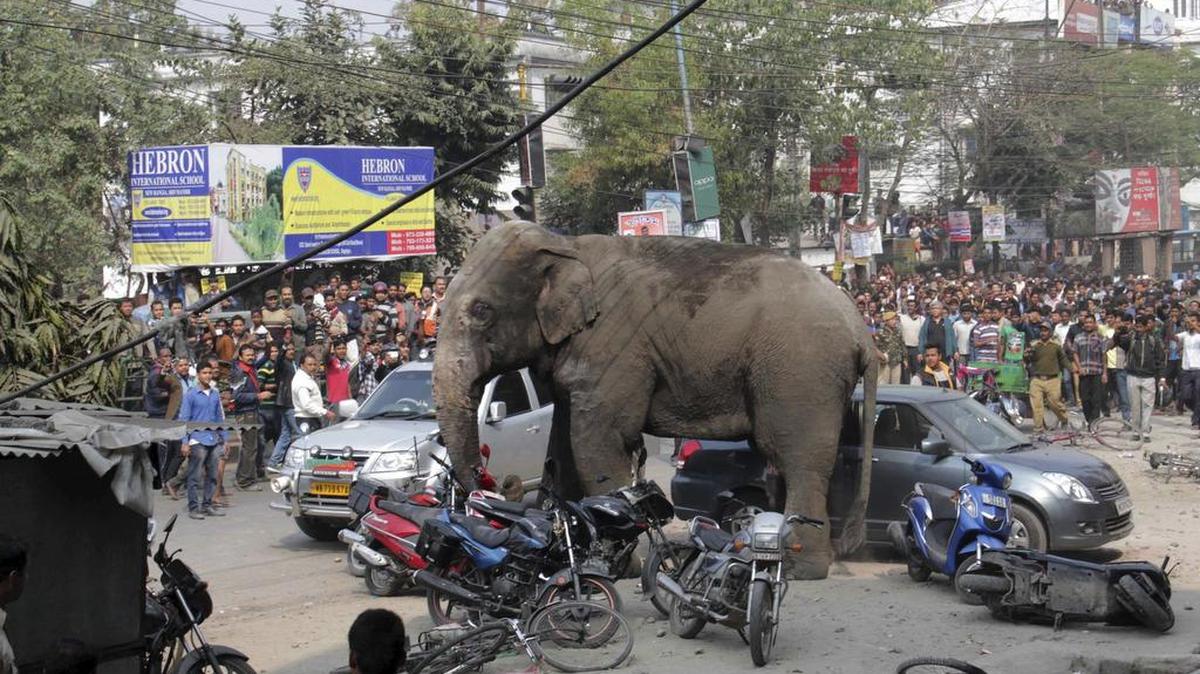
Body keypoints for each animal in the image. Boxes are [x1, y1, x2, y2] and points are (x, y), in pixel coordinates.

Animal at [432, 222, 877, 579]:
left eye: (482, 311)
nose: (496, 483)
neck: (565, 246)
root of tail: (861, 330)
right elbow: (562, 443)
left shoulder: (614, 348)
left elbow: (600, 439)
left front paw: (615, 566)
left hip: (801, 371)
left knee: (797, 457)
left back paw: (800, 567)